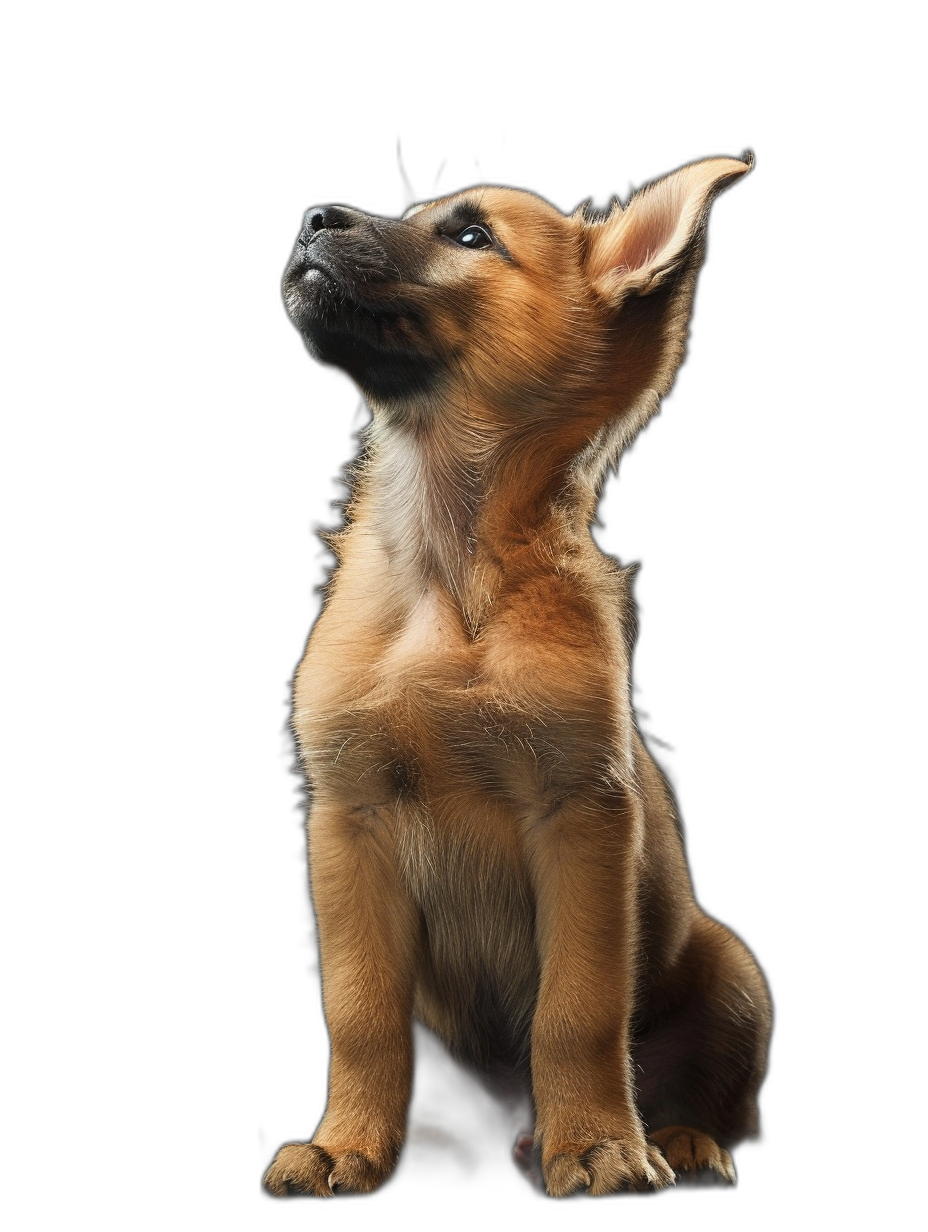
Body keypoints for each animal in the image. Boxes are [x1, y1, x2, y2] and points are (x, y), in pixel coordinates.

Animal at [258, 156, 769, 1202]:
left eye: (470, 237)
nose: (313, 218)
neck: (445, 576)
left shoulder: (581, 818)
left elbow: (577, 1012)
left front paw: (601, 1142)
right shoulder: (346, 820)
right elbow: (358, 1018)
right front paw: (344, 1144)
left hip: (737, 977)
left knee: (709, 1096)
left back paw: (675, 1141)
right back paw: (430, 1145)